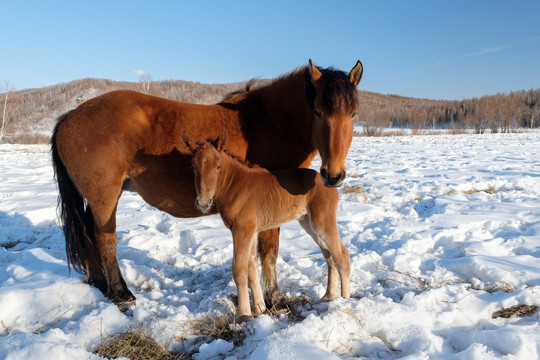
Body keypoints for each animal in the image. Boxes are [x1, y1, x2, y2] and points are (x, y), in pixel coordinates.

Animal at [51, 59, 362, 306]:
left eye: (353, 114)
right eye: (318, 111)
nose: (333, 175)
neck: (273, 121)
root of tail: (69, 116)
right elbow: (269, 252)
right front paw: (273, 298)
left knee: (89, 237)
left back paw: (100, 284)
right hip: (105, 198)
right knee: (104, 239)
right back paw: (121, 294)